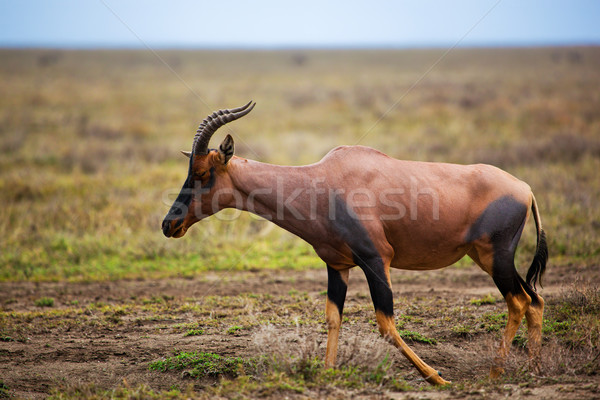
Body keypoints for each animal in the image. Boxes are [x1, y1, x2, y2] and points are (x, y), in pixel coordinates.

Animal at [163, 101, 548, 386]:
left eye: (202, 173)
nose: (169, 225)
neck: (323, 180)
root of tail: (525, 188)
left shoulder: (377, 260)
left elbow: (386, 325)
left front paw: (439, 378)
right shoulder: (338, 266)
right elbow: (333, 317)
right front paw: (327, 374)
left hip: (496, 257)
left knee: (518, 301)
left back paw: (496, 373)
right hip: (485, 258)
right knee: (534, 299)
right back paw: (534, 370)